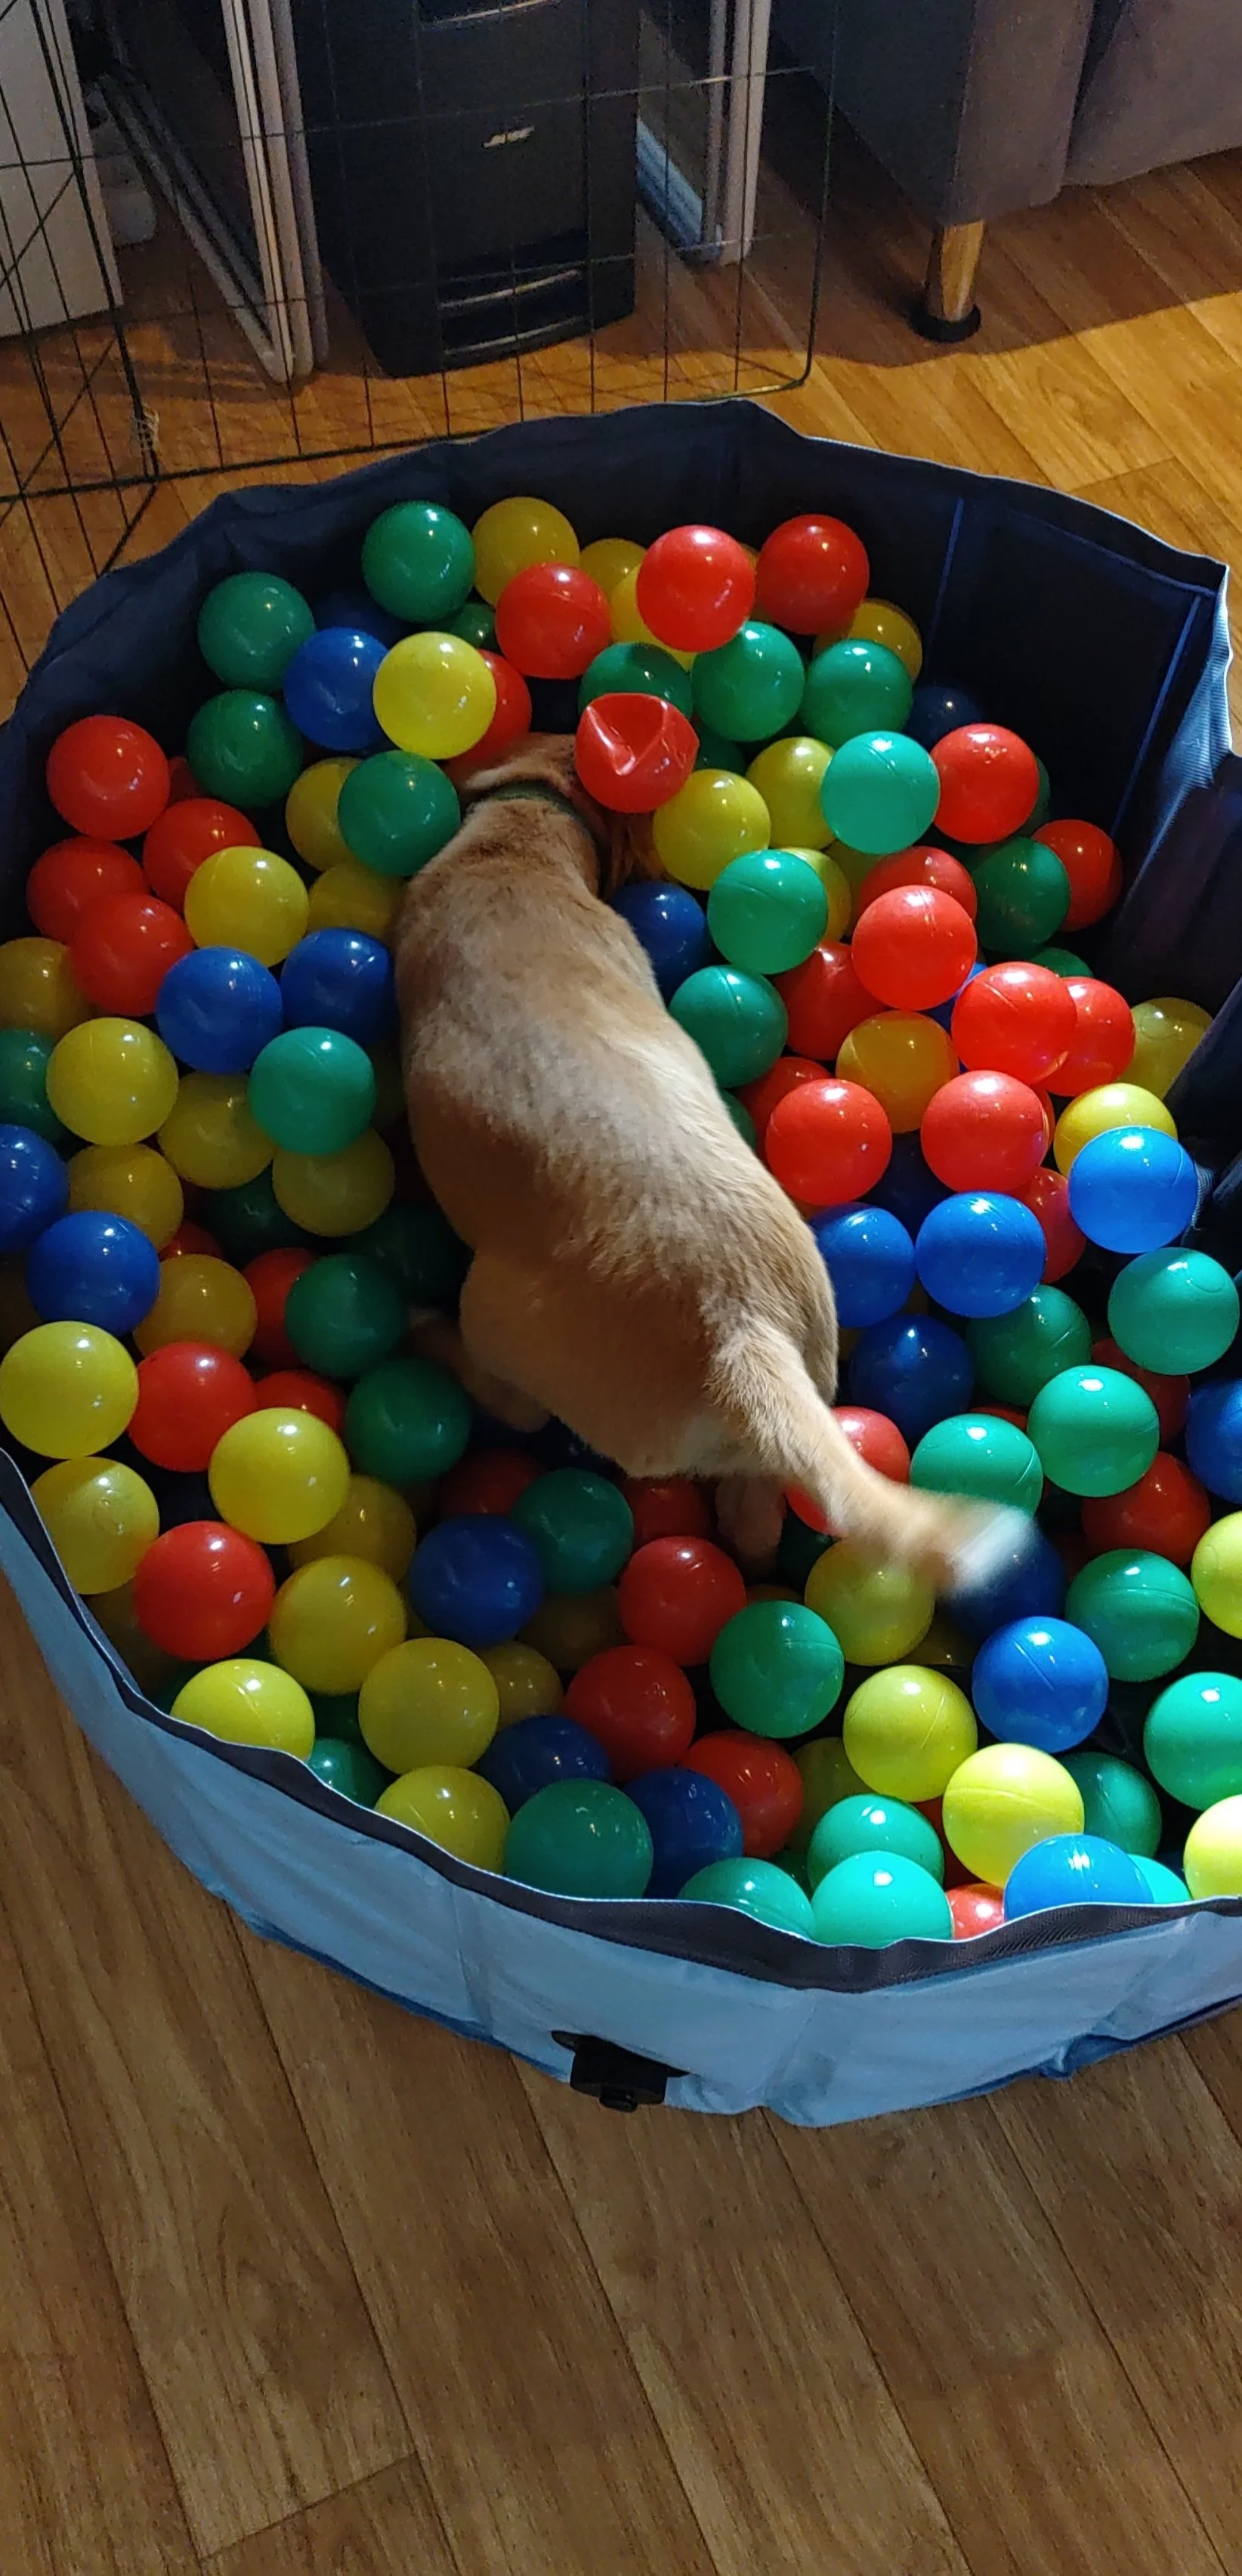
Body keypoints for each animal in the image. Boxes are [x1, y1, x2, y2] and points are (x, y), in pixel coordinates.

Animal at [395, 734, 1027, 1587]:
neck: (525, 843)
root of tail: (744, 1332)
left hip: (499, 1312)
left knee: (518, 1401)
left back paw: (427, 1333)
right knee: (756, 1510)